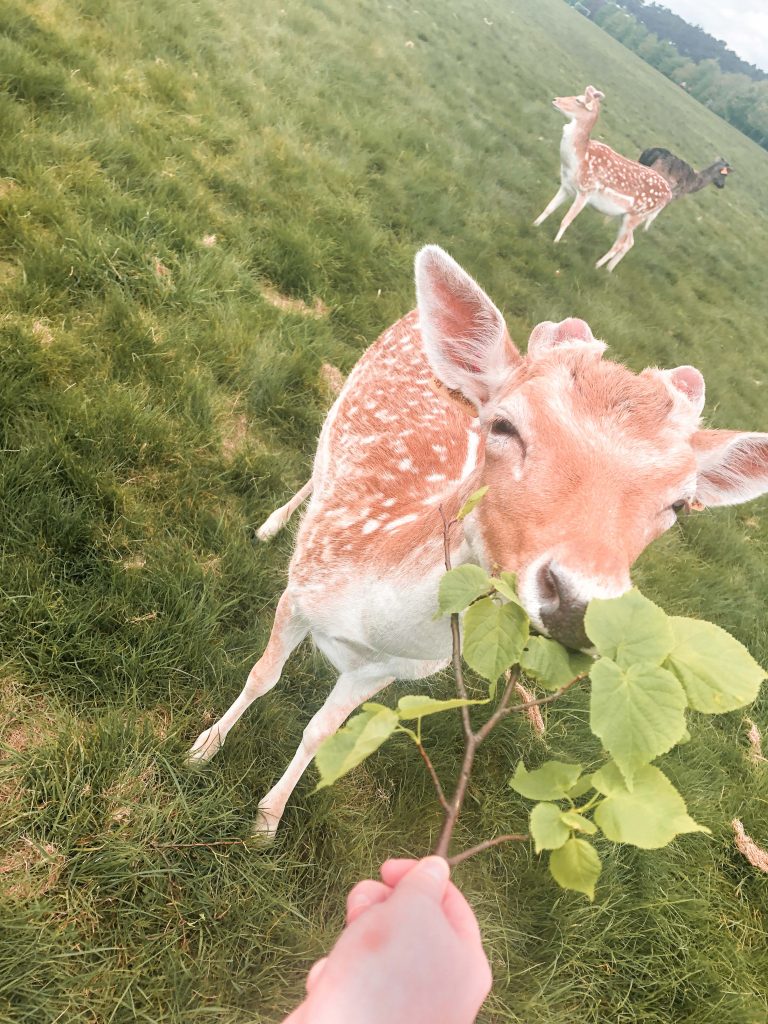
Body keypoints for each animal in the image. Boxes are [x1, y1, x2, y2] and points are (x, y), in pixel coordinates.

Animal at [186, 243, 768, 835]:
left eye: (679, 504)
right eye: (506, 426)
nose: (582, 602)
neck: (367, 623)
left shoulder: (387, 669)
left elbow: (321, 733)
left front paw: (266, 821)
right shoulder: (301, 592)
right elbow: (262, 677)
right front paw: (202, 748)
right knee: (315, 466)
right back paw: (272, 525)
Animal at [536, 86, 671, 272]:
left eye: (579, 100)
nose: (555, 100)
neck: (577, 161)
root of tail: (669, 196)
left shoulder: (586, 190)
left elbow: (567, 220)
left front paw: (555, 242)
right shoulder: (566, 185)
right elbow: (549, 208)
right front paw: (535, 224)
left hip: (636, 215)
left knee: (620, 243)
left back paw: (597, 265)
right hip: (627, 216)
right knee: (630, 242)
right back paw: (609, 269)